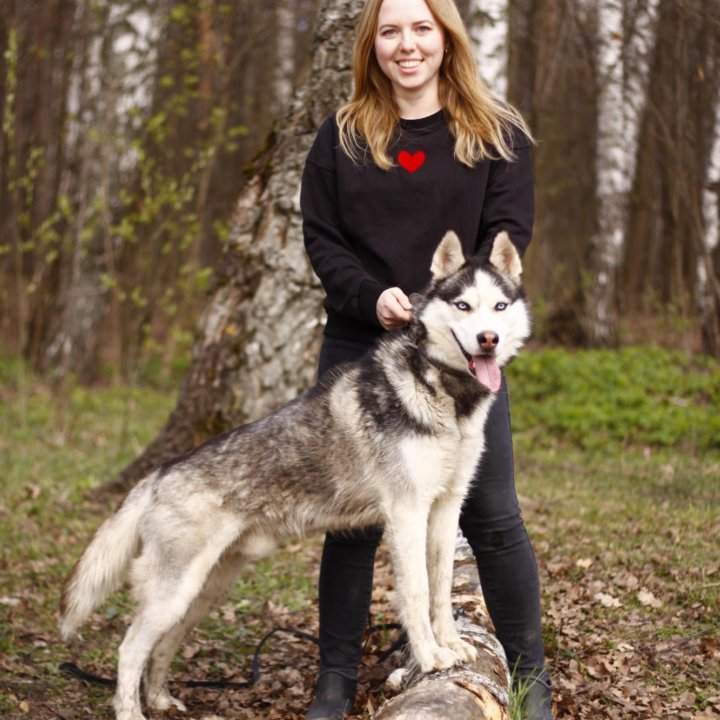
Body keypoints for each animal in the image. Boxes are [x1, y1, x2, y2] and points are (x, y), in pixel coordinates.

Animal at [60, 231, 528, 720]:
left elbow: (441, 589)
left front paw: (451, 645)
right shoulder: (406, 514)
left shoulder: (445, 509)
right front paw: (430, 656)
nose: (489, 340)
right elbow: (417, 594)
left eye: (498, 306)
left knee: (163, 644)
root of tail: (159, 474)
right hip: (174, 592)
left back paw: (160, 698)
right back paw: (132, 709)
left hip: (201, 593)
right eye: (463, 306)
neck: (447, 397)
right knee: (129, 648)